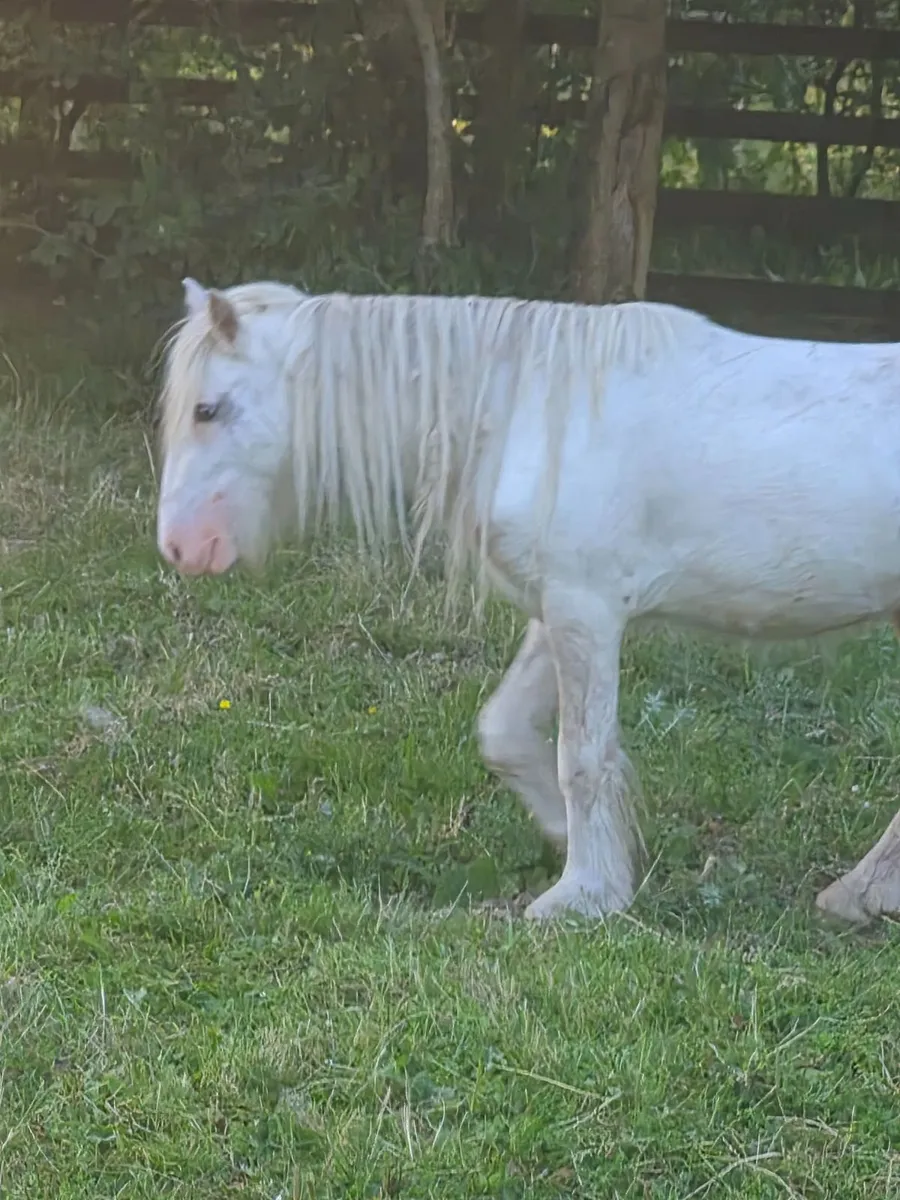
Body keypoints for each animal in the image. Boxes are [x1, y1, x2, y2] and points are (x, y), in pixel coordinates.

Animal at [154, 276, 900, 924]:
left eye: (207, 409)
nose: (180, 548)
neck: (528, 411)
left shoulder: (585, 610)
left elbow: (583, 757)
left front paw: (584, 896)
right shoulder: (558, 611)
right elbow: (505, 732)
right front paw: (578, 843)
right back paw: (858, 895)